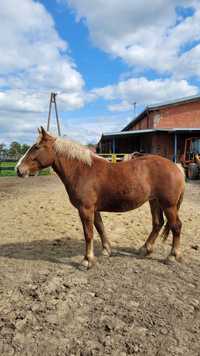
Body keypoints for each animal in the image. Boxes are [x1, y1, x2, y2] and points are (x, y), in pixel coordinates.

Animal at [16, 126, 185, 268]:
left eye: (36, 147)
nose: (18, 169)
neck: (82, 171)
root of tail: (176, 167)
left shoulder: (85, 209)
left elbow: (88, 234)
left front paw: (87, 260)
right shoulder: (94, 209)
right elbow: (100, 228)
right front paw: (106, 251)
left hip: (168, 205)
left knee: (176, 226)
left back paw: (172, 256)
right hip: (154, 202)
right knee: (158, 223)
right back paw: (145, 249)